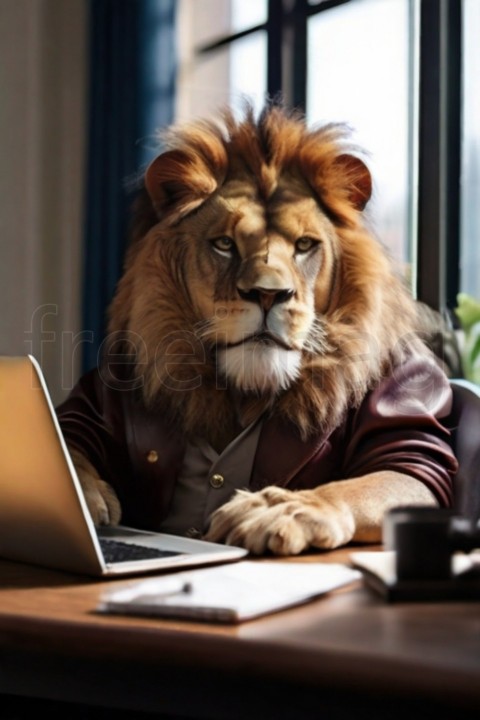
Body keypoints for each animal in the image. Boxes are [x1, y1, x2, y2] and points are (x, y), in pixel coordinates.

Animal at [56, 101, 458, 556]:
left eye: (305, 245)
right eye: (224, 244)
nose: (268, 294)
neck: (245, 391)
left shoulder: (408, 421)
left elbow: (374, 478)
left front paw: (283, 510)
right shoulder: (95, 398)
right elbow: (70, 434)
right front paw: (79, 493)